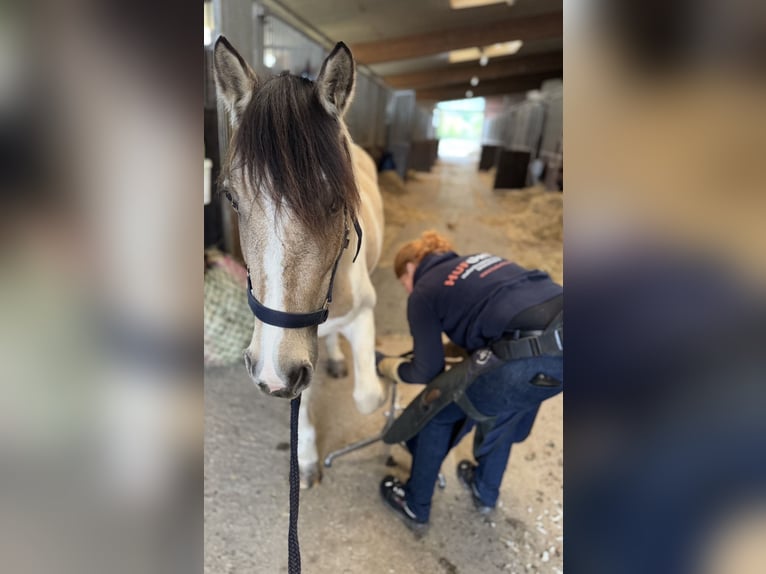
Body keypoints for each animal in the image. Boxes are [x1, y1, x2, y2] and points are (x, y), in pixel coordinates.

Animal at [213, 37, 386, 487]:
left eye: (335, 201)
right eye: (231, 198)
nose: (273, 374)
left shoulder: (363, 314)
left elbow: (368, 398)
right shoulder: (286, 359)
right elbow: (301, 402)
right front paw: (306, 459)